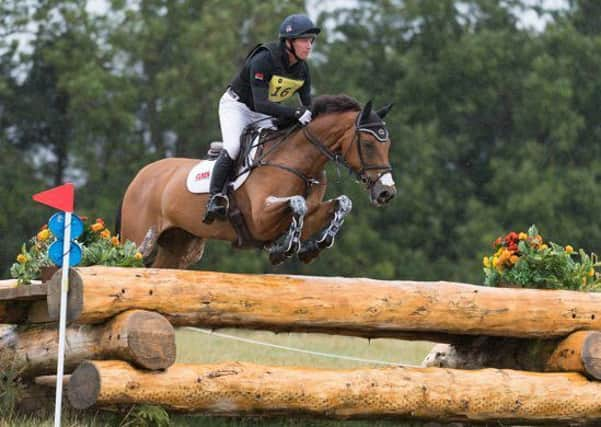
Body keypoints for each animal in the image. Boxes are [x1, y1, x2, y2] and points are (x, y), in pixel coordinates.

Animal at [118, 94, 396, 268]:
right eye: (368, 145)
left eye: (388, 145)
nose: (387, 193)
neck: (298, 162)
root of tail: (140, 176)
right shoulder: (260, 219)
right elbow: (297, 203)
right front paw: (284, 247)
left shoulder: (309, 214)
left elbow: (342, 203)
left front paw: (312, 248)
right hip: (140, 240)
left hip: (181, 245)